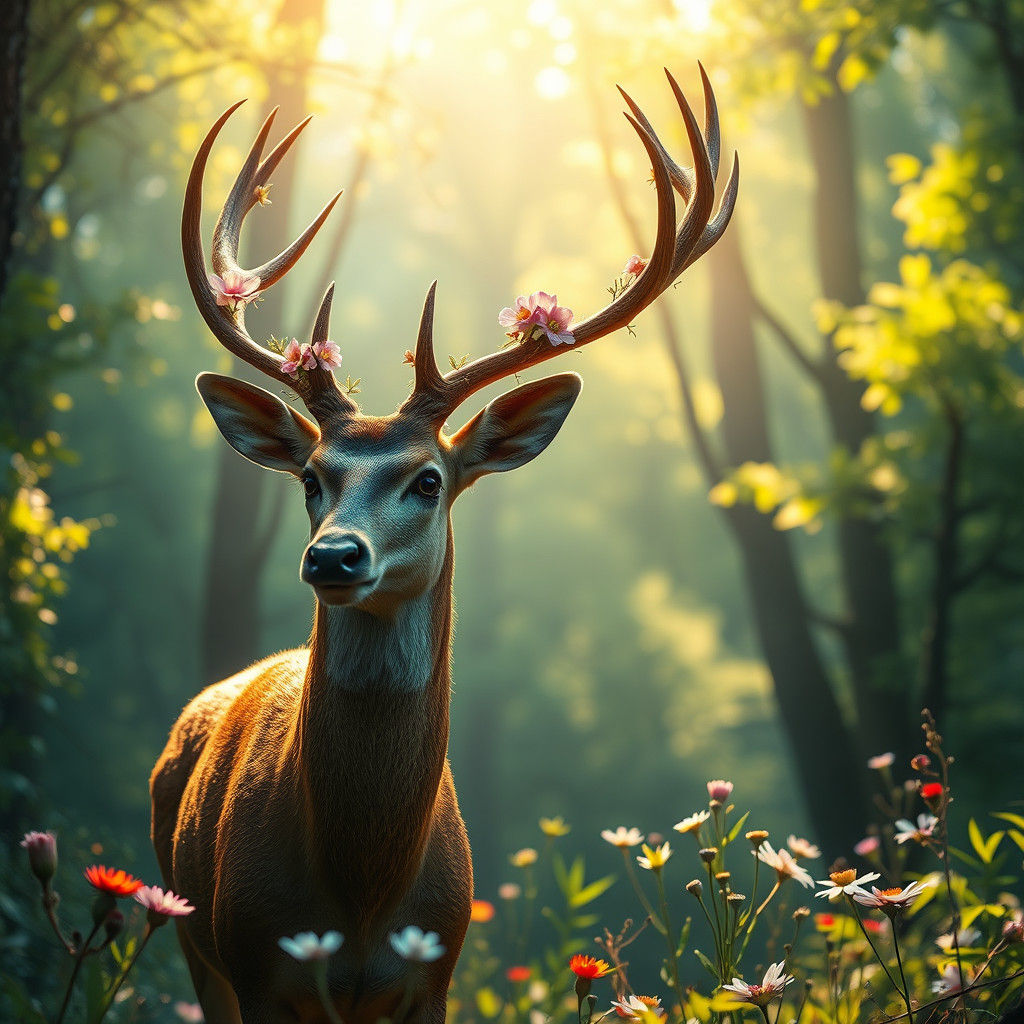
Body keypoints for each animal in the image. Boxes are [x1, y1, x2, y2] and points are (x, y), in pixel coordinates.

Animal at [150, 66, 737, 1024]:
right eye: (310, 476)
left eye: (428, 479)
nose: (334, 557)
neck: (360, 892)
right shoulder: (254, 965)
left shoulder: (440, 970)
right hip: (194, 941)